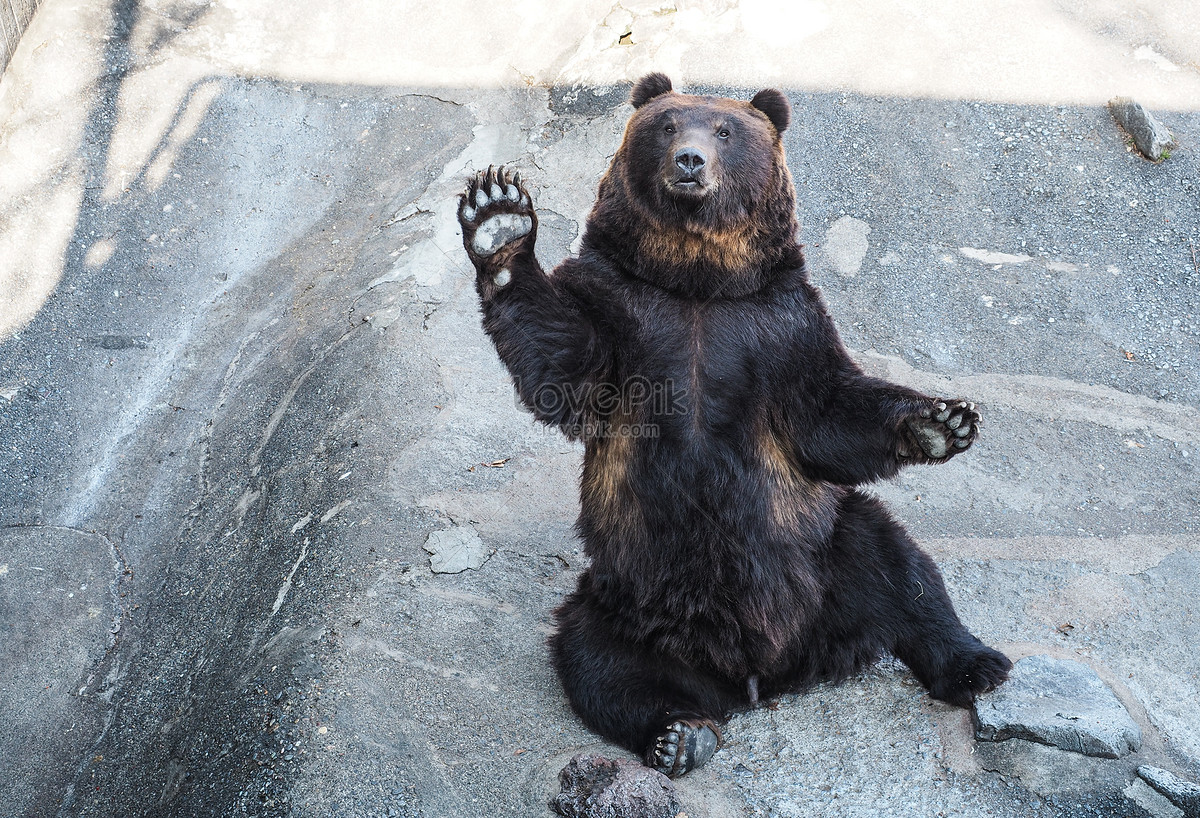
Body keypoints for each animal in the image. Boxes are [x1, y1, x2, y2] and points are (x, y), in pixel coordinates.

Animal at [453, 74, 1008, 777]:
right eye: (667, 125)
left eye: (725, 130)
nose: (689, 161)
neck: (698, 285)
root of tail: (763, 674)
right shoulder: (624, 313)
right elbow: (561, 361)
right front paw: (498, 219)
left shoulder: (779, 327)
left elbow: (828, 414)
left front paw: (942, 422)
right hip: (624, 600)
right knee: (596, 662)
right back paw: (678, 734)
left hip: (822, 555)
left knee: (896, 564)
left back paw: (976, 664)